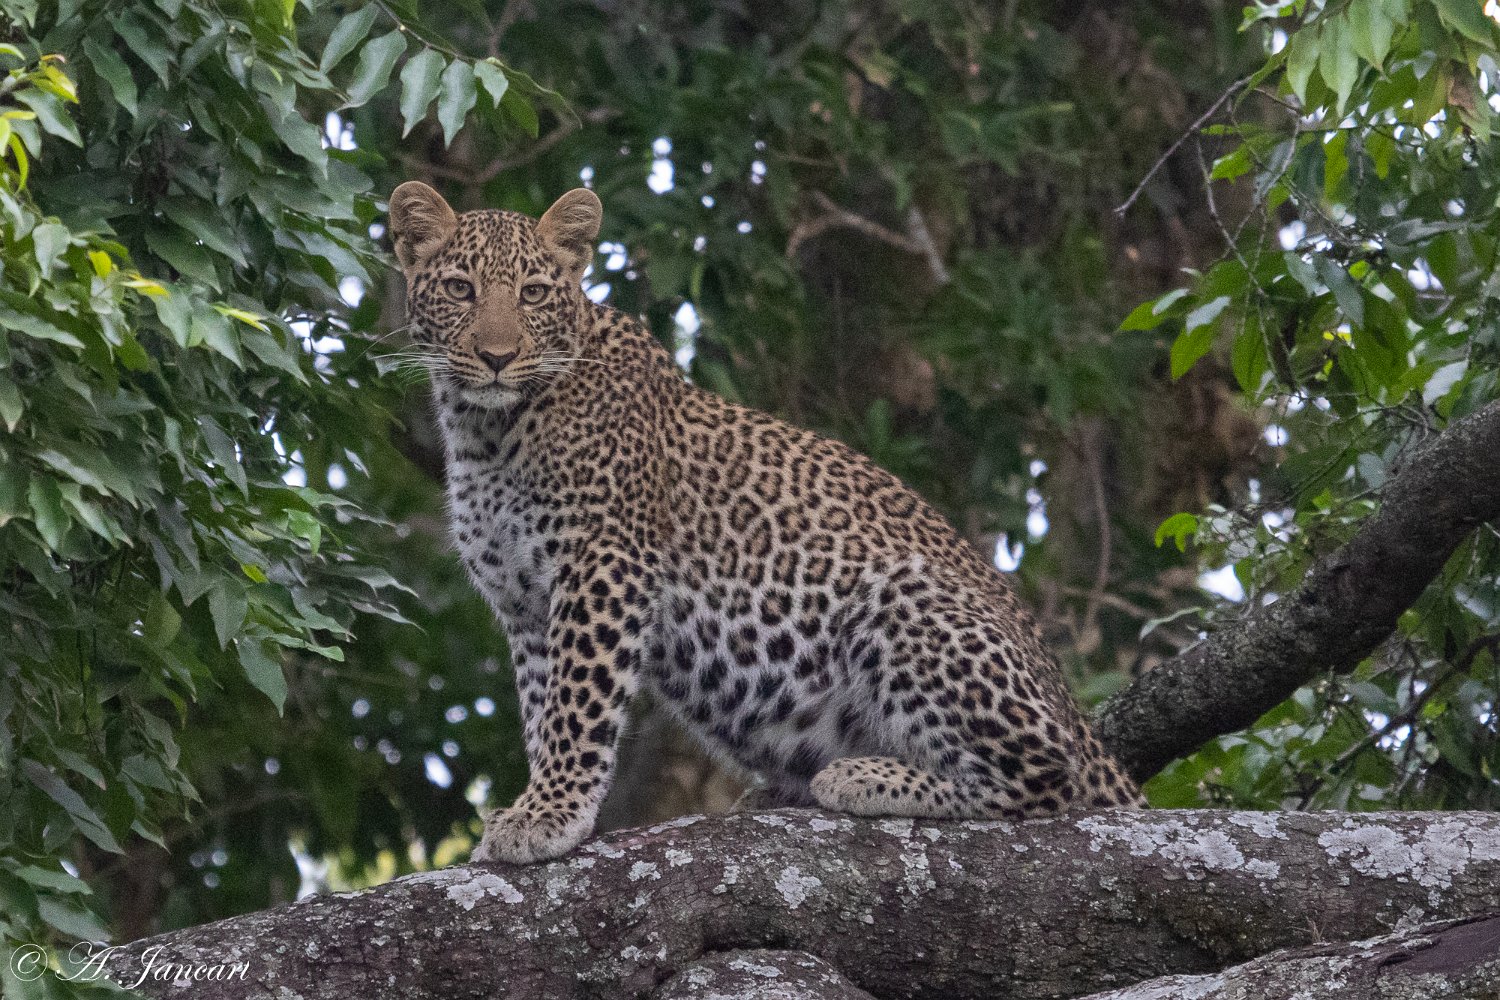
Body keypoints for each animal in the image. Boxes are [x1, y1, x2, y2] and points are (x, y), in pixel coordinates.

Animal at [386, 180, 1143, 865]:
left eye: (534, 294)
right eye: (459, 289)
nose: (497, 357)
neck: (486, 430)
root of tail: (1080, 720)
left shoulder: (602, 564)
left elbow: (578, 705)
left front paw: (548, 814)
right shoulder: (524, 604)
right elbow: (546, 709)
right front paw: (546, 802)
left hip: (902, 600)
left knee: (1048, 777)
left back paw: (862, 777)